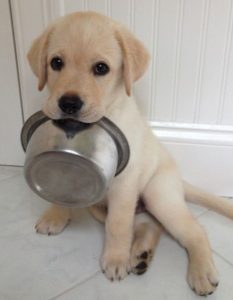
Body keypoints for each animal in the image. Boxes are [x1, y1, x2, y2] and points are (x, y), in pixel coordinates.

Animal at [27, 11, 233, 296]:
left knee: (193, 230)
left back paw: (200, 271)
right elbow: (60, 188)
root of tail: (179, 180)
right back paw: (140, 253)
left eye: (101, 68)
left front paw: (115, 259)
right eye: (56, 63)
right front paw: (55, 215)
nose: (68, 103)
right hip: (100, 207)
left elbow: (117, 225)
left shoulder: (124, 183)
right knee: (149, 225)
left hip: (158, 194)